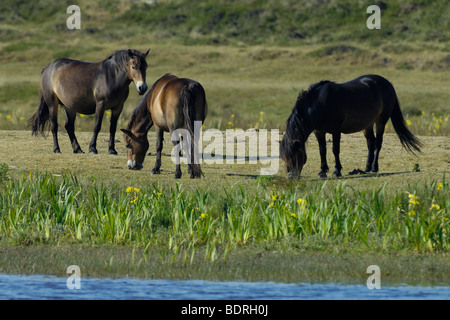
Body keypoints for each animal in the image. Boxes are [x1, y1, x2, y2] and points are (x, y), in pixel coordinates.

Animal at [280, 74, 424, 179]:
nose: (291, 177)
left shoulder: (336, 130)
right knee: (370, 143)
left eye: (294, 155)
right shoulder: (319, 132)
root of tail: (388, 83)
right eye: (283, 157)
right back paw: (366, 167)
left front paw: (337, 171)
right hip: (367, 125)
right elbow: (322, 151)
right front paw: (322, 171)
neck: (320, 104)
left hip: (381, 121)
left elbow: (335, 150)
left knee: (378, 143)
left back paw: (374, 168)